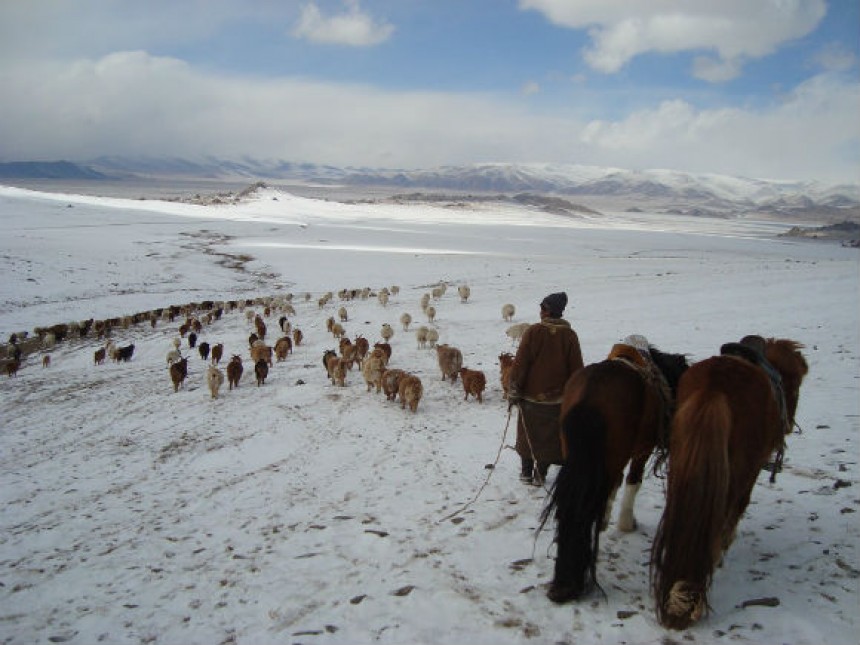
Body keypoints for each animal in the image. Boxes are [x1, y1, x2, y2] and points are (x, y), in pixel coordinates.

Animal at [652, 338, 808, 628]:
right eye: (796, 385)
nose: (789, 425)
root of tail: (715, 388)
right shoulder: (751, 472)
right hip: (738, 471)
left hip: (682, 460)